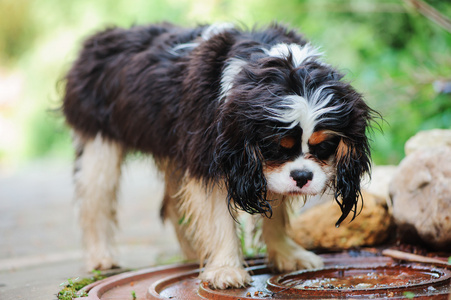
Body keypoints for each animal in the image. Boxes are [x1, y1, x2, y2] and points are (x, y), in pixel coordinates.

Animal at [62, 22, 374, 290]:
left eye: (324, 146)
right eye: (277, 146)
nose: (302, 176)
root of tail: (103, 35)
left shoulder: (265, 169)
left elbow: (273, 209)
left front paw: (287, 255)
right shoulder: (215, 156)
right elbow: (217, 215)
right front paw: (226, 270)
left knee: (174, 205)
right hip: (100, 143)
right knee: (95, 199)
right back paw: (101, 257)